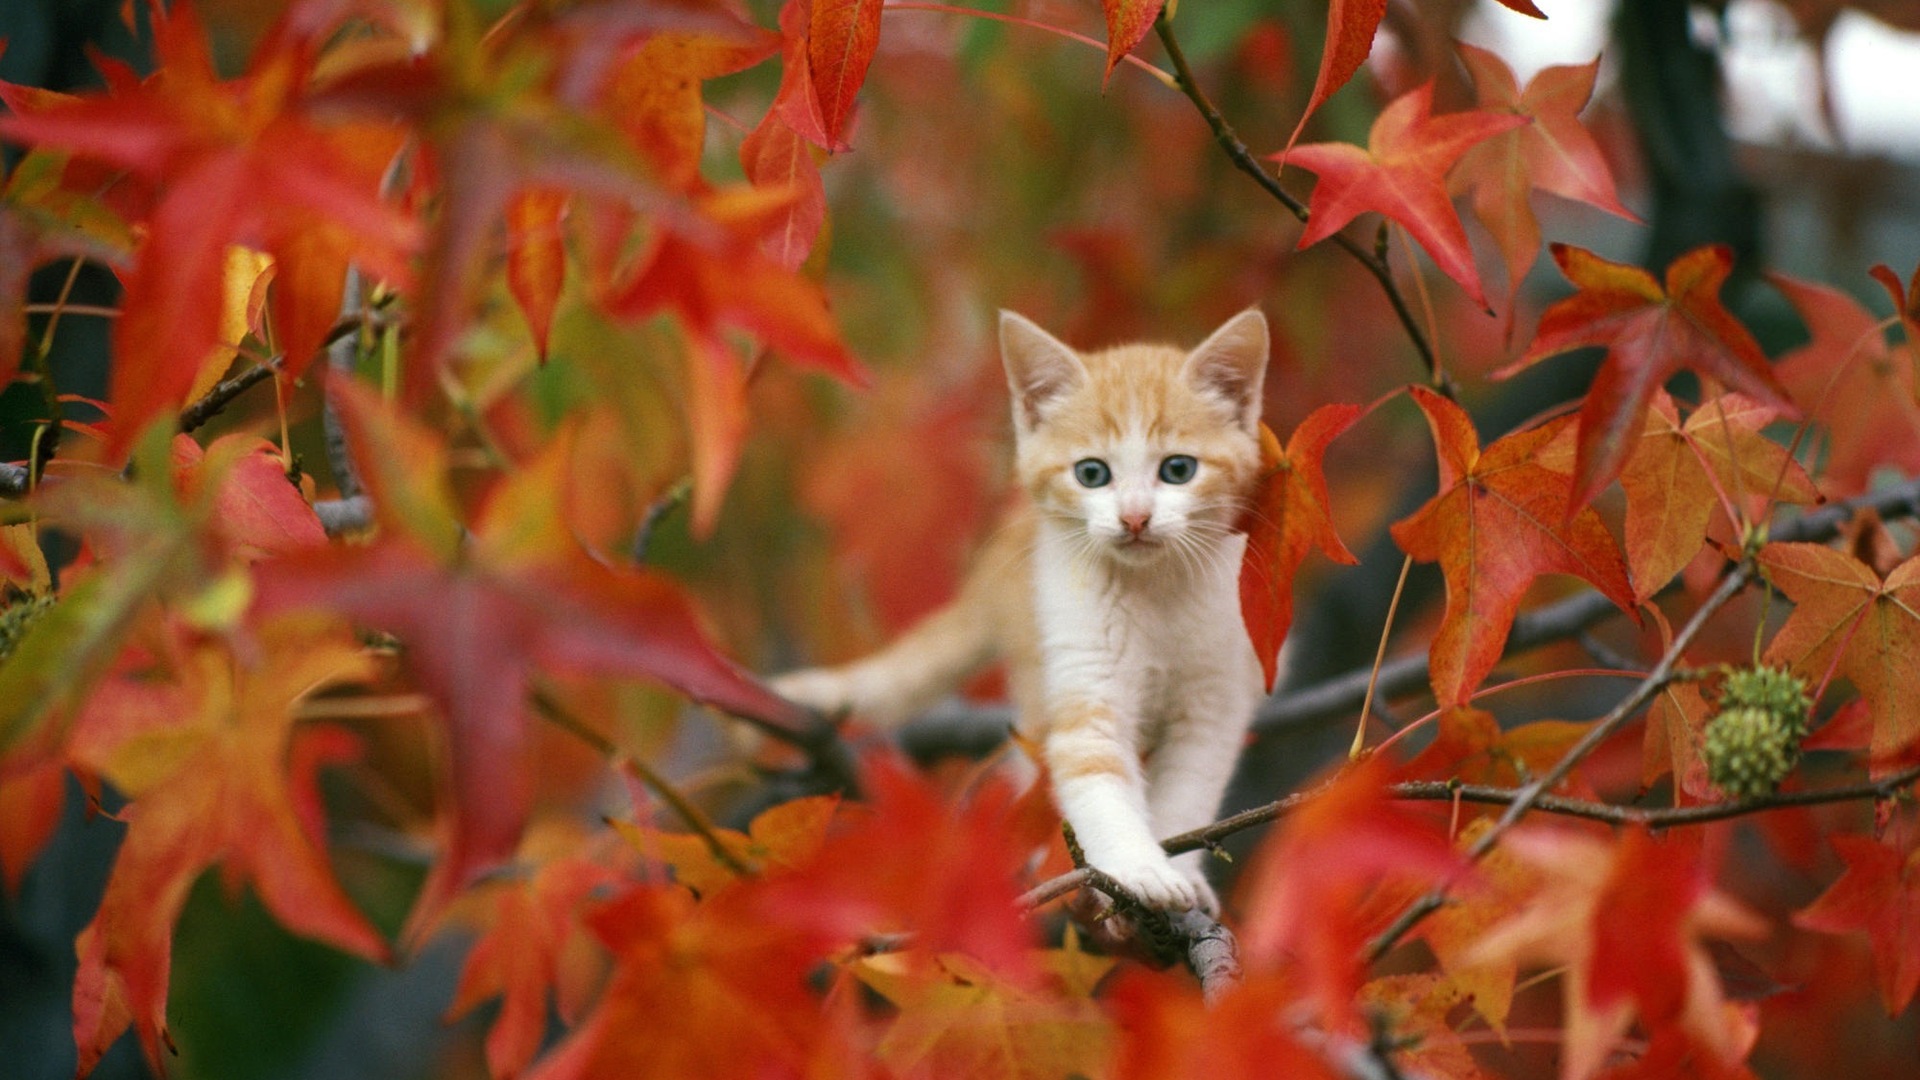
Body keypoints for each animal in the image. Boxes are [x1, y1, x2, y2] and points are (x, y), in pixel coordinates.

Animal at [771, 307, 1267, 910]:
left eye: (1178, 470)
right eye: (1091, 474)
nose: (1134, 518)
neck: (1155, 589)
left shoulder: (1216, 697)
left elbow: (1191, 790)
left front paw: (1183, 873)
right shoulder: (1082, 665)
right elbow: (1092, 773)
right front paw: (1137, 868)